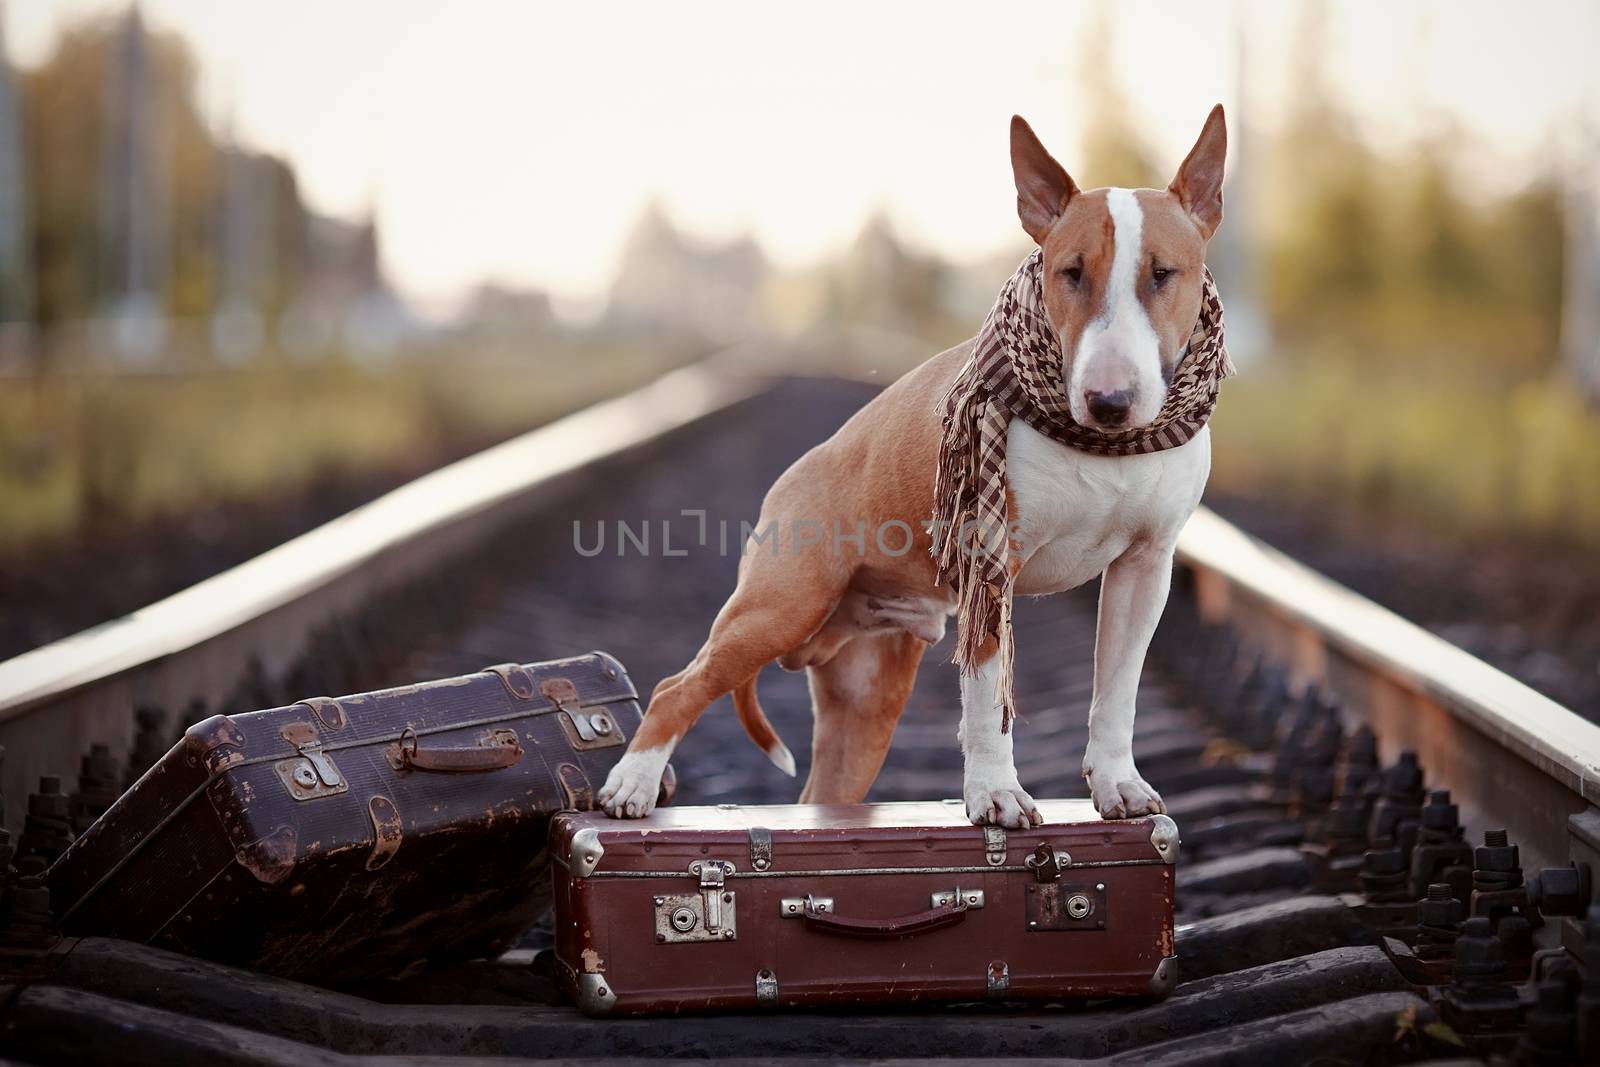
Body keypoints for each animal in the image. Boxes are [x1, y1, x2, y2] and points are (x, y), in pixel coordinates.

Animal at [598, 103, 1222, 831]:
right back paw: (632, 786)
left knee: (822, 785)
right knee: (678, 686)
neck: (1103, 446)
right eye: (1071, 272)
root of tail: (790, 481)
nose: (1109, 402)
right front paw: (996, 794)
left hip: (866, 696)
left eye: (1162, 273)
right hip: (779, 605)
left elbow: (1118, 689)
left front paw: (1119, 784)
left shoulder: (1145, 569)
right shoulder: (991, 564)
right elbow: (986, 699)